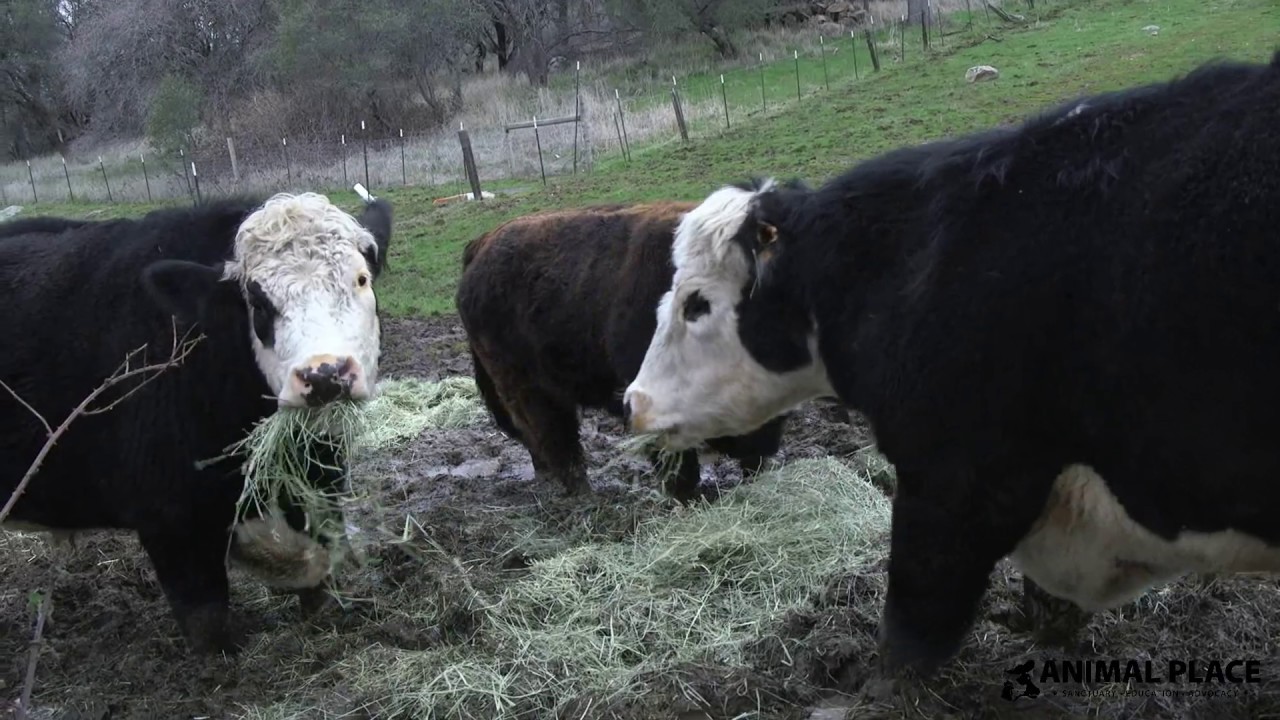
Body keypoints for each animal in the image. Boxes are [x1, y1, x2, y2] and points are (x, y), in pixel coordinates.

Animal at [1, 189, 393, 654]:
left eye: (361, 280)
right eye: (258, 303)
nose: (325, 374)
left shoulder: (321, 491)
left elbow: (320, 585)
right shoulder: (172, 525)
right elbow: (209, 628)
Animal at [456, 202, 792, 502]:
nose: (764, 447)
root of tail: (481, 245)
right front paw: (686, 497)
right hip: (528, 389)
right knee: (553, 439)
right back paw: (583, 496)